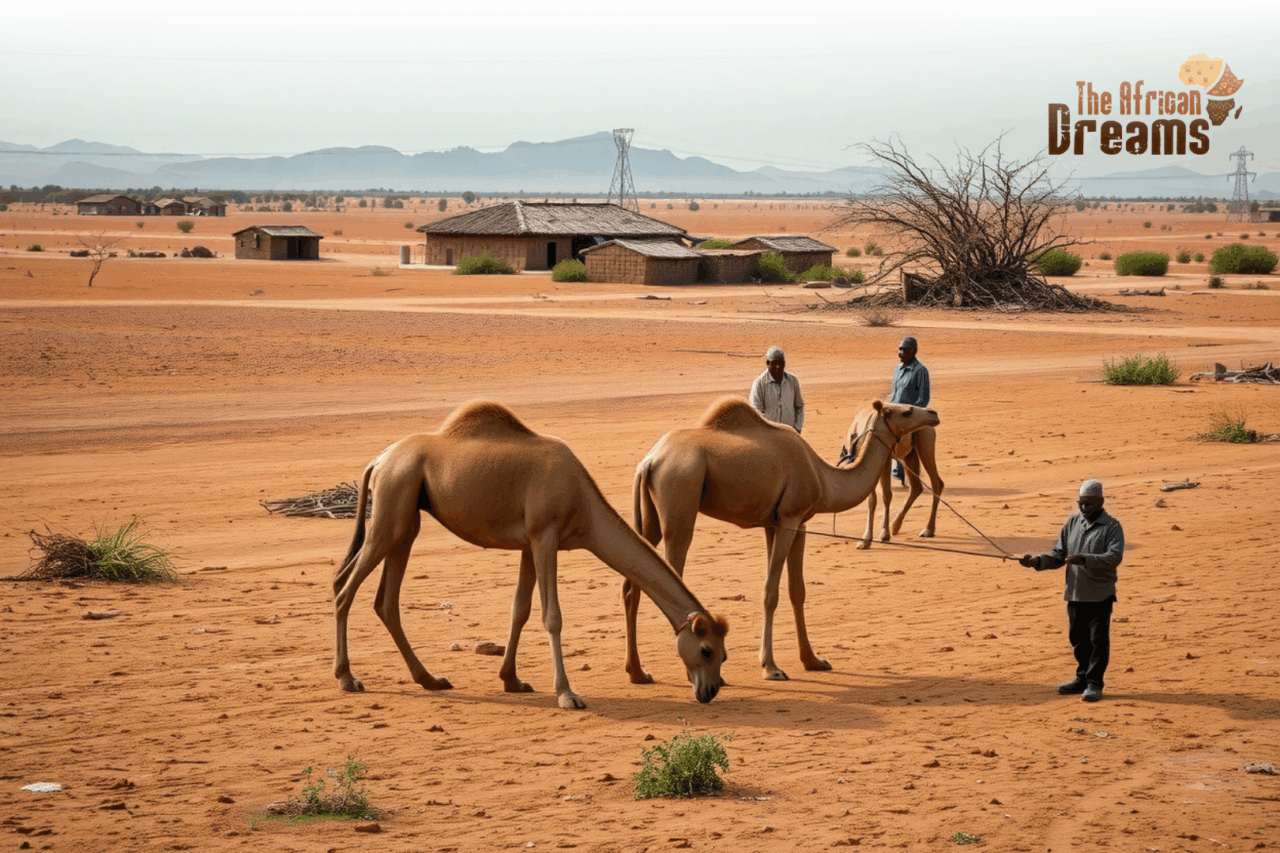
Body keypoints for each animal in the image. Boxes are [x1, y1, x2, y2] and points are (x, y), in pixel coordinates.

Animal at [332, 401, 729, 710]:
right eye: (707, 650)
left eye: (724, 655)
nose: (709, 691)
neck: (584, 504)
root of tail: (378, 461)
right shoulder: (545, 536)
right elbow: (551, 616)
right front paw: (568, 695)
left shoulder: (528, 544)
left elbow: (519, 610)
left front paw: (512, 680)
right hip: (391, 508)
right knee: (343, 589)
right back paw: (348, 678)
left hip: (405, 517)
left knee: (385, 600)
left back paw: (430, 679)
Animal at [841, 409, 944, 550]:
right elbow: (872, 499)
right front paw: (865, 540)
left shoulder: (886, 457)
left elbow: (886, 494)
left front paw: (884, 535)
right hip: (910, 454)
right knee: (916, 486)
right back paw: (895, 526)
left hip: (924, 439)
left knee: (936, 483)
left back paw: (928, 530)